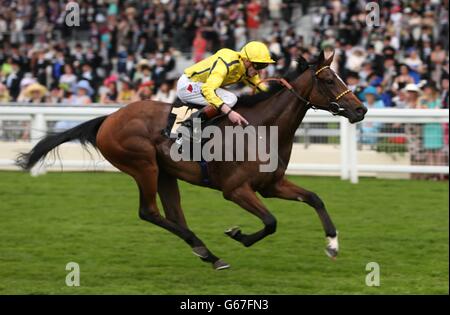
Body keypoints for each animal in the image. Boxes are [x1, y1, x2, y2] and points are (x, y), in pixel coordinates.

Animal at [16, 50, 366, 270]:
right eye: (329, 80)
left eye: (340, 77)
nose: (360, 109)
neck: (262, 128)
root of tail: (109, 118)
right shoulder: (236, 190)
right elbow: (270, 222)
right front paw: (238, 235)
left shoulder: (272, 184)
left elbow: (315, 198)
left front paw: (333, 244)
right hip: (143, 166)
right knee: (149, 212)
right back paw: (207, 251)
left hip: (165, 173)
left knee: (173, 214)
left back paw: (206, 252)